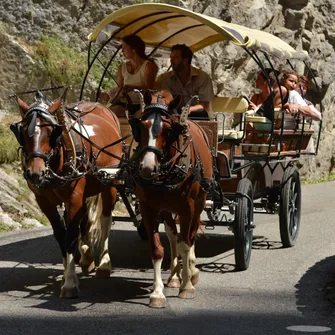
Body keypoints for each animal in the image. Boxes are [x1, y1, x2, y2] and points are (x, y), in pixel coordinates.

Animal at [10, 94, 123, 300]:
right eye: (22, 131)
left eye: (51, 132)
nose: (35, 173)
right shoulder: (44, 201)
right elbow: (61, 234)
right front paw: (66, 275)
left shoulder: (74, 197)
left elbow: (70, 235)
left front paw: (70, 283)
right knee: (85, 221)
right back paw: (87, 258)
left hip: (110, 182)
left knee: (105, 219)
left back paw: (104, 264)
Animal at [127, 90, 214, 308]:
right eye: (141, 125)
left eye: (168, 128)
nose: (147, 167)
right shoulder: (148, 207)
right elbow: (157, 249)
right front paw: (157, 293)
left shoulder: (188, 207)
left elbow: (186, 244)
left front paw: (187, 286)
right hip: (167, 209)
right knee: (173, 235)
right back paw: (175, 276)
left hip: (200, 202)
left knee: (190, 236)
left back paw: (191, 272)